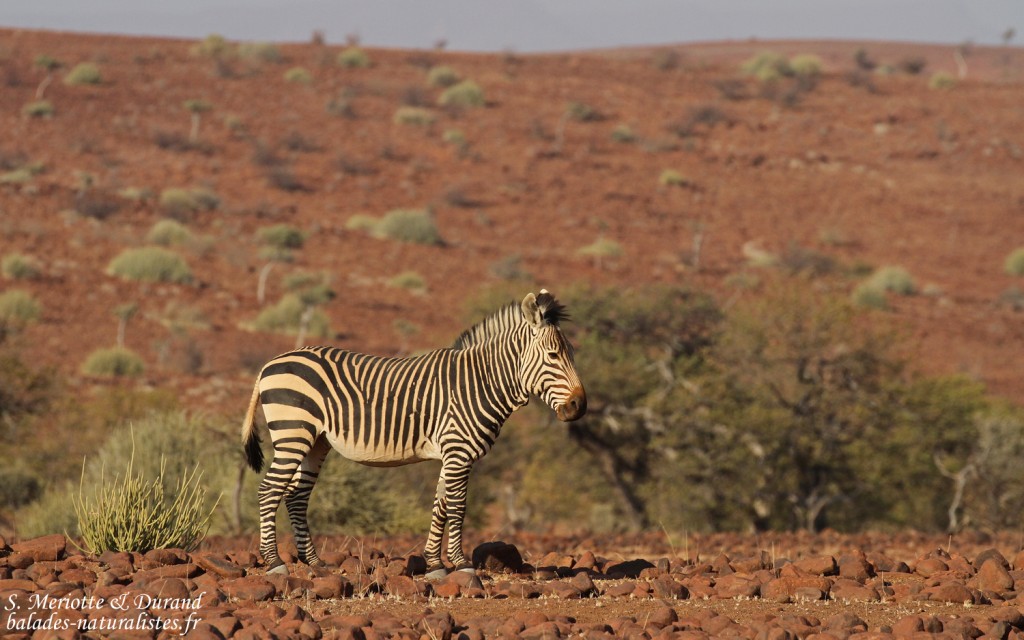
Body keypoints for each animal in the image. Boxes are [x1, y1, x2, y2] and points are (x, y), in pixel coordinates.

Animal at [240, 290, 586, 577]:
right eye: (553, 355)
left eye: (571, 353)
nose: (579, 406)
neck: (480, 383)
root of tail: (270, 364)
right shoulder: (459, 451)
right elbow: (458, 506)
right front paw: (460, 563)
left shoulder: (452, 454)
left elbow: (441, 505)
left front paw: (434, 564)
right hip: (292, 434)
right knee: (269, 490)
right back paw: (274, 562)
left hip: (316, 442)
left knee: (296, 496)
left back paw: (314, 562)